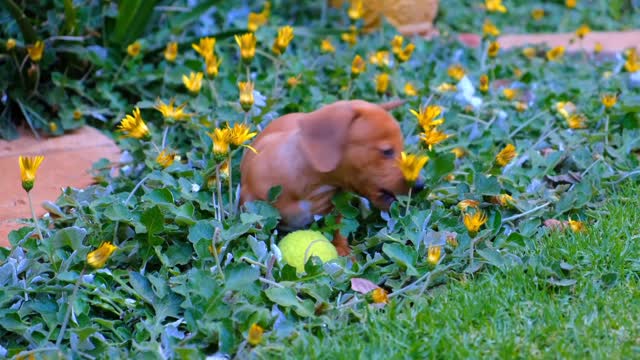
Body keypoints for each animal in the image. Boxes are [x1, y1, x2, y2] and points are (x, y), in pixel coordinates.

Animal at [240, 100, 420, 255]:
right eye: (387, 151)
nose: (421, 185)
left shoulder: (337, 208)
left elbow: (339, 228)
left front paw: (343, 251)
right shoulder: (251, 203)